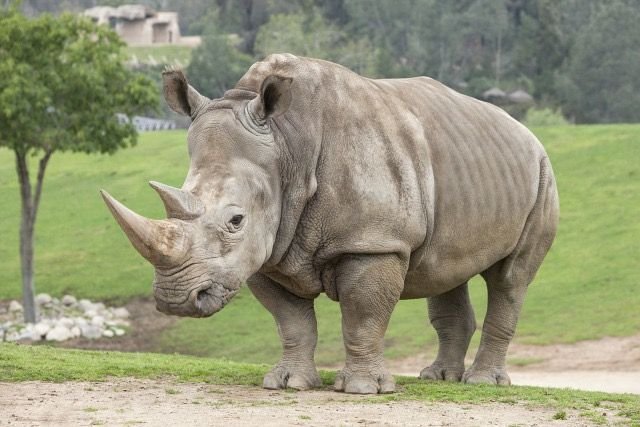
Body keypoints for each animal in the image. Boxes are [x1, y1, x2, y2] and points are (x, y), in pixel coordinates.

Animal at [101, 54, 559, 394]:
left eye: (235, 220)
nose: (176, 299)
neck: (286, 145)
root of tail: (525, 131)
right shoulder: (268, 249)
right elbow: (291, 321)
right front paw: (287, 383)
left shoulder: (373, 240)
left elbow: (363, 313)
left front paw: (363, 389)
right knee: (444, 270)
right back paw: (440, 378)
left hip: (541, 172)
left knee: (510, 280)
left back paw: (484, 383)